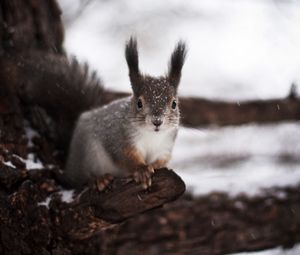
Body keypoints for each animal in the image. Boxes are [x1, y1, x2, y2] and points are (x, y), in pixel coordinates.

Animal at [1, 37, 186, 189]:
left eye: (174, 104)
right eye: (139, 103)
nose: (157, 121)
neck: (151, 136)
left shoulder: (165, 146)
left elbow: (161, 160)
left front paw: (154, 166)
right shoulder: (119, 138)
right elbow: (125, 157)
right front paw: (141, 170)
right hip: (88, 155)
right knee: (78, 181)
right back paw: (98, 179)